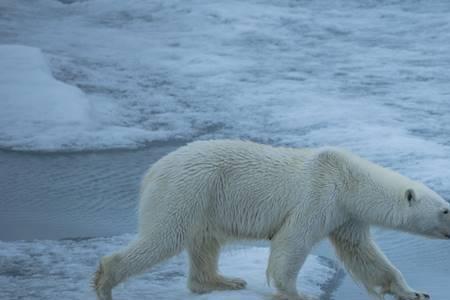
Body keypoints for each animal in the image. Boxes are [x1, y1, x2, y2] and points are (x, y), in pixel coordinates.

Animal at [92, 140, 450, 300]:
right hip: (187, 189)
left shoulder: (346, 216)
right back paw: (105, 282)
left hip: (204, 200)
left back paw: (222, 281)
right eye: (445, 209)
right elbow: (292, 242)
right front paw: (297, 293)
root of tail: (152, 172)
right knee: (165, 236)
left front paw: (413, 292)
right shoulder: (319, 196)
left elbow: (362, 253)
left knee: (205, 242)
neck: (348, 180)